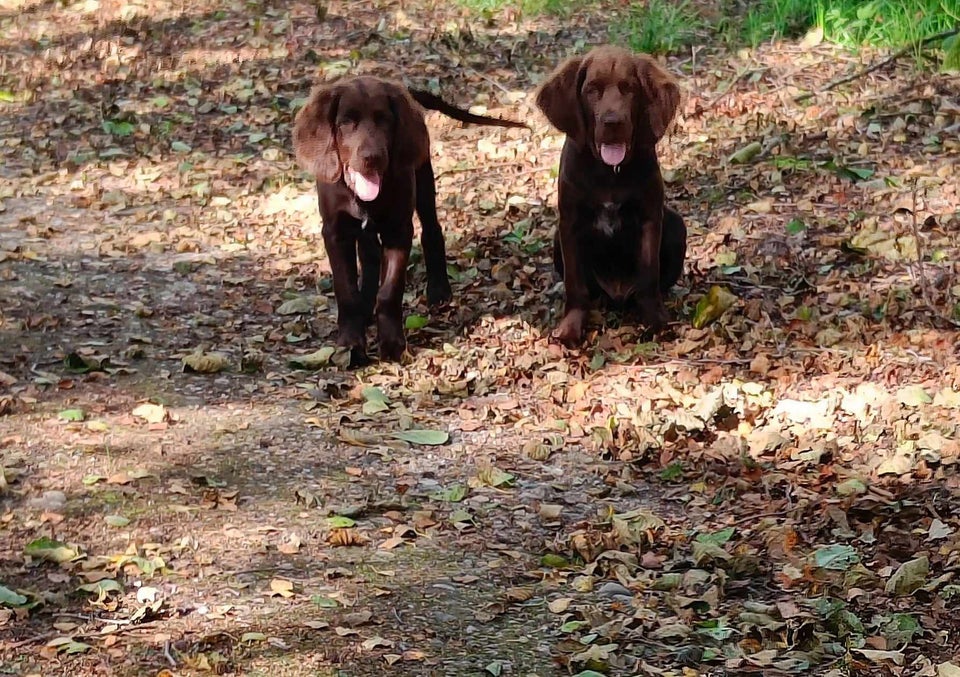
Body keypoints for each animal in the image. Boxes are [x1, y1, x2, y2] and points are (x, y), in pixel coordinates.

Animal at [296, 75, 528, 364]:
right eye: (346, 122)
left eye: (384, 119)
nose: (372, 158)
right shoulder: (335, 232)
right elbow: (346, 290)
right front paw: (351, 345)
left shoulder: (399, 228)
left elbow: (390, 290)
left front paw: (393, 343)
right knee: (370, 256)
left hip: (423, 180)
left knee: (432, 230)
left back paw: (439, 290)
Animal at [536, 46, 688, 348]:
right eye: (592, 90)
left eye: (629, 88)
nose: (612, 122)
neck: (609, 173)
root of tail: (617, 295)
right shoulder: (569, 224)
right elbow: (575, 284)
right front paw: (570, 329)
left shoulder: (650, 218)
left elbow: (649, 275)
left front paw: (656, 321)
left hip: (677, 225)